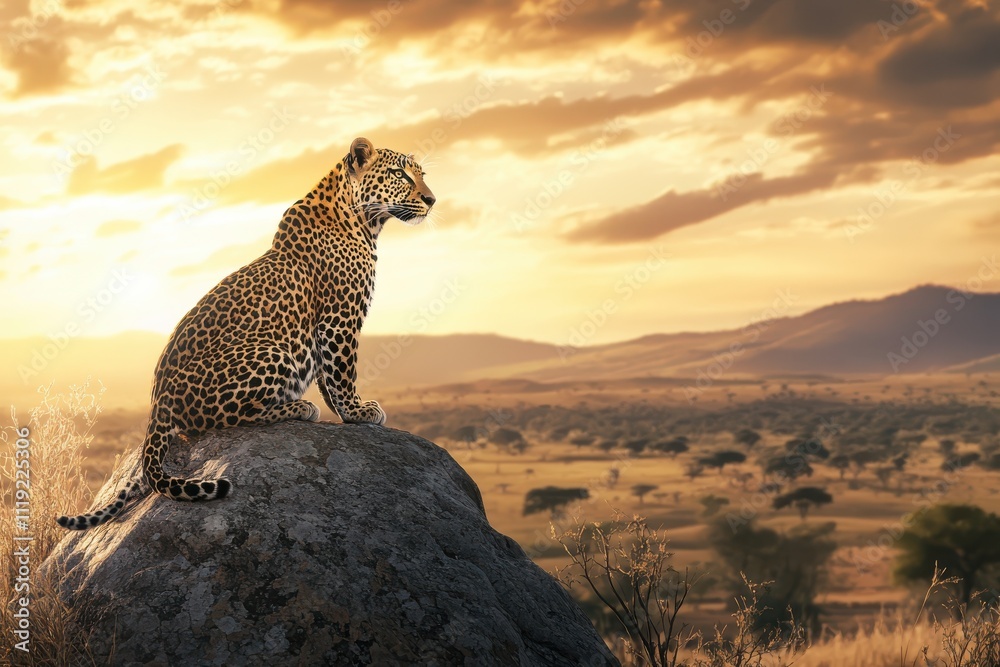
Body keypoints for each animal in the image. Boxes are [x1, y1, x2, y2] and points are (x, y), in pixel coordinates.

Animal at [57, 137, 435, 530]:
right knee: (226, 421)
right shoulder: (339, 316)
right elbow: (342, 371)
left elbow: (328, 376)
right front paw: (358, 411)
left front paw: (347, 413)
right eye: (399, 174)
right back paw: (297, 407)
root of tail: (157, 405)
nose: (432, 200)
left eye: (421, 174)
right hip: (273, 352)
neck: (364, 221)